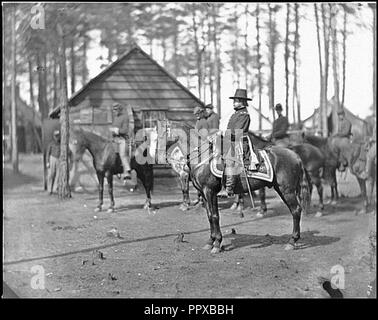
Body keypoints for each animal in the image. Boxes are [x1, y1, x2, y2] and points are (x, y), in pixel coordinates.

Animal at [156, 119, 310, 254]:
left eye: (162, 133)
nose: (159, 155)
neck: (203, 157)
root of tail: (295, 155)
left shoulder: (210, 192)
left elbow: (215, 216)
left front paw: (217, 244)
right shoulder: (204, 194)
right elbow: (209, 216)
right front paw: (210, 242)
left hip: (287, 191)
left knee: (296, 210)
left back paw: (292, 241)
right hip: (282, 190)